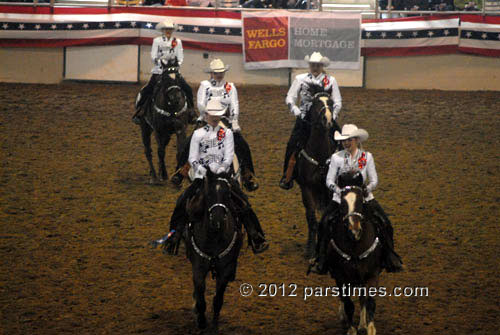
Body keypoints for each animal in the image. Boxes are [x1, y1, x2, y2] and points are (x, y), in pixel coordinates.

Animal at [186, 171, 244, 330]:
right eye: (209, 194)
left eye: (227, 193)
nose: (217, 220)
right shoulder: (198, 269)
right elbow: (200, 299)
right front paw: (201, 322)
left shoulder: (224, 271)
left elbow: (218, 300)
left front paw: (214, 325)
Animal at [294, 84, 342, 260]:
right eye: (316, 104)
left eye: (331, 102)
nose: (327, 119)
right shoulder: (307, 188)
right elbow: (312, 220)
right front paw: (310, 251)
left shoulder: (329, 190)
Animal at [326, 172, 380, 335]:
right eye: (343, 204)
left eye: (361, 201)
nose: (354, 231)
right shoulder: (340, 276)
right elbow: (349, 304)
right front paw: (351, 329)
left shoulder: (372, 273)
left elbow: (369, 301)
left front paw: (369, 328)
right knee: (344, 298)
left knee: (362, 298)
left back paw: (362, 324)